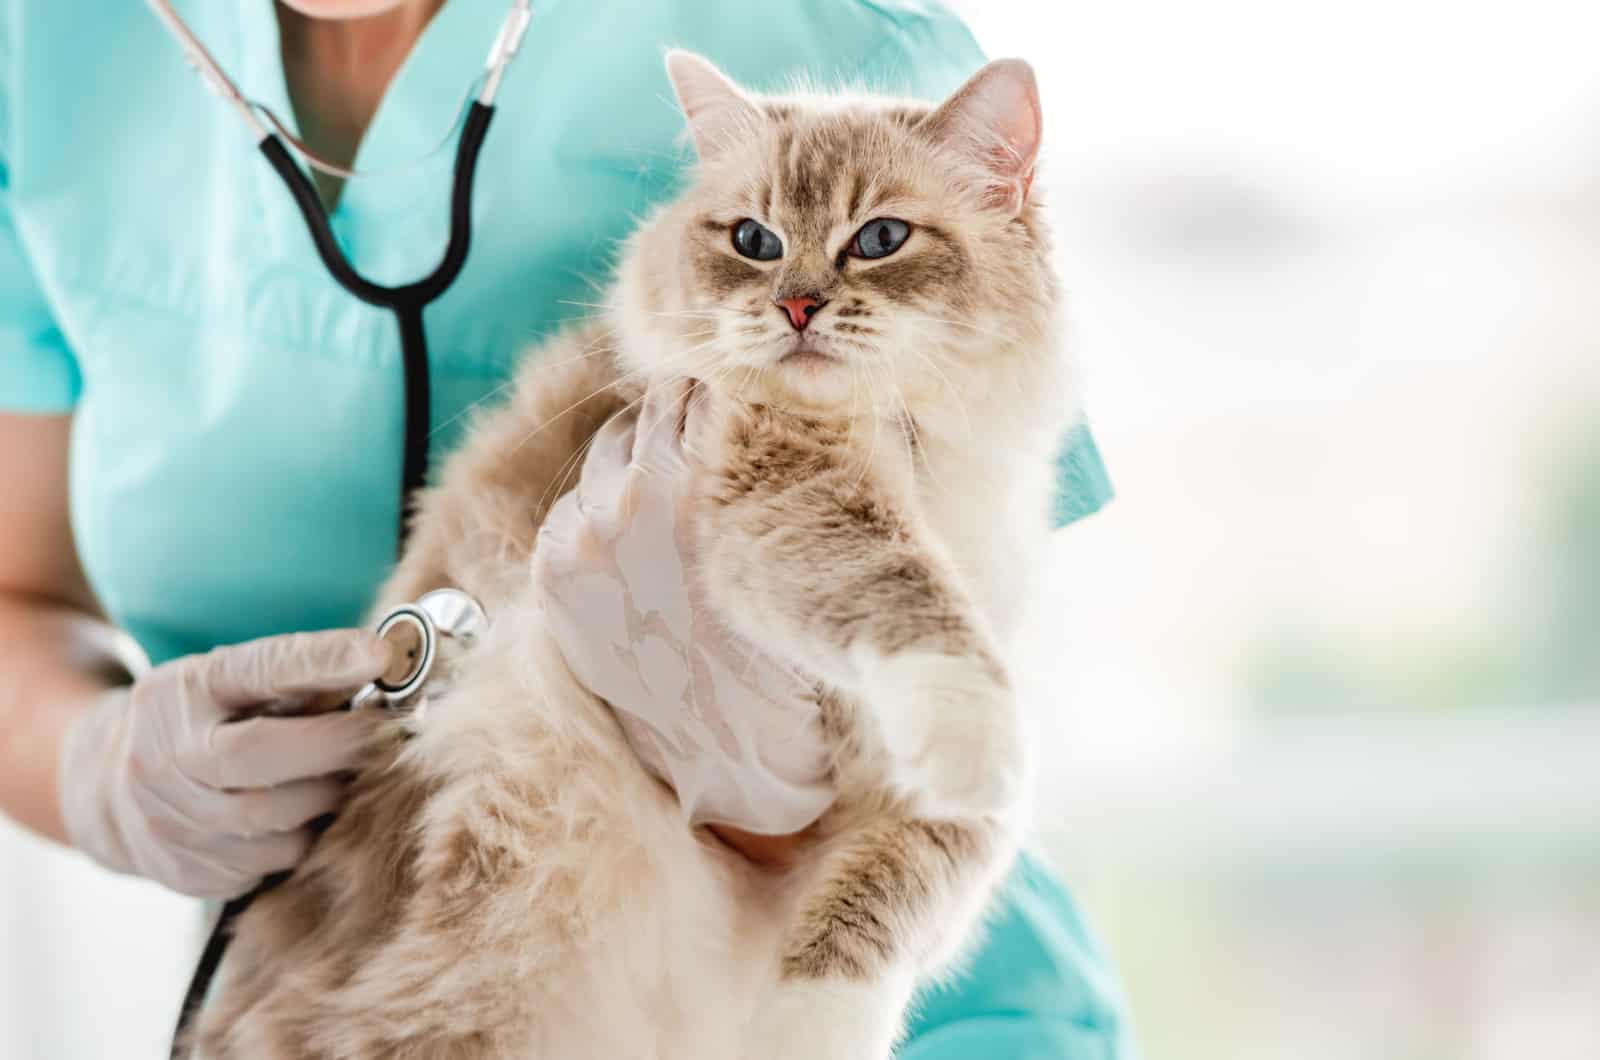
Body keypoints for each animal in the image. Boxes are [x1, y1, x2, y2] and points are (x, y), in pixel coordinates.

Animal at [193, 52, 1081, 1060]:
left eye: (881, 238)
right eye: (754, 240)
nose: (797, 305)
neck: (917, 450)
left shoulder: (912, 800)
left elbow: (885, 906)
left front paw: (810, 1020)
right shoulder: (785, 479)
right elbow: (906, 599)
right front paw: (978, 737)